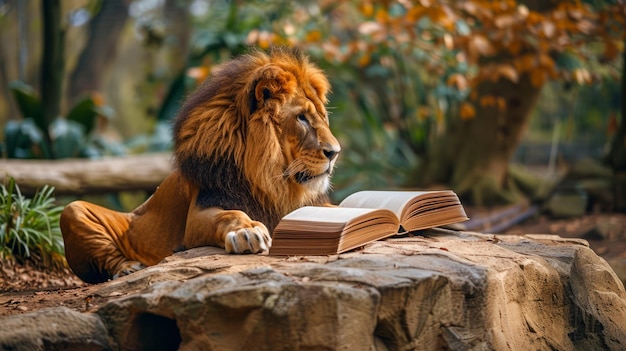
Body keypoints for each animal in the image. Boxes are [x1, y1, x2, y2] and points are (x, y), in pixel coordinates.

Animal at [61, 46, 338, 284]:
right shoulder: (200, 212)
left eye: (322, 117)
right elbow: (230, 214)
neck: (271, 181)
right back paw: (128, 267)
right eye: (301, 118)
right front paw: (248, 231)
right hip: (75, 212)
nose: (335, 152)